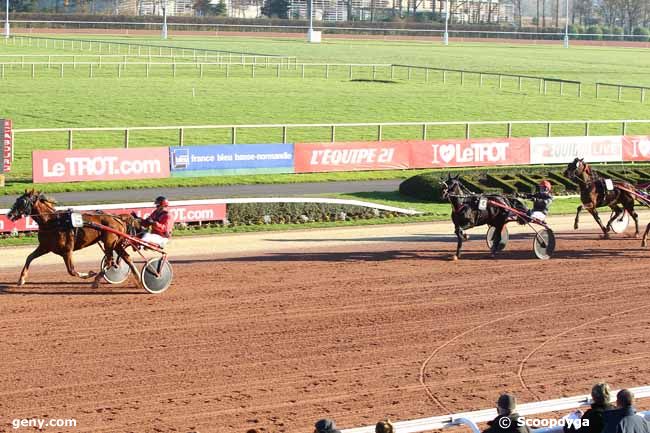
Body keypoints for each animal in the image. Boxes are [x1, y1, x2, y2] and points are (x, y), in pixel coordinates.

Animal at [6, 188, 141, 286]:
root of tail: (119, 219)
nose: (9, 215)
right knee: (126, 258)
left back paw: (96, 280)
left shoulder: (66, 250)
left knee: (110, 261)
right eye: (17, 200)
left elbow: (71, 270)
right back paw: (139, 279)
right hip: (116, 243)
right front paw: (21, 279)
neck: (53, 221)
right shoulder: (45, 247)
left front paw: (89, 274)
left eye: (22, 202)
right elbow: (29, 257)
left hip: (109, 243)